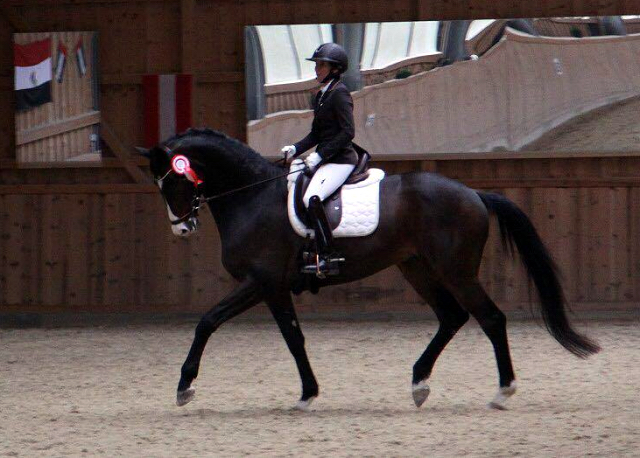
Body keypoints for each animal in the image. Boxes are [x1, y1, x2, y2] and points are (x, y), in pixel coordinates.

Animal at [138, 128, 604, 412]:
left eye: (172, 180)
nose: (182, 228)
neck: (252, 197)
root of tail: (473, 193)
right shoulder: (274, 289)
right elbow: (293, 339)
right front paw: (307, 395)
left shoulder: (260, 282)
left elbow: (207, 321)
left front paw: (184, 387)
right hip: (417, 269)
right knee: (452, 317)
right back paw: (419, 384)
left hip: (455, 270)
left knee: (490, 317)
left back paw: (503, 391)